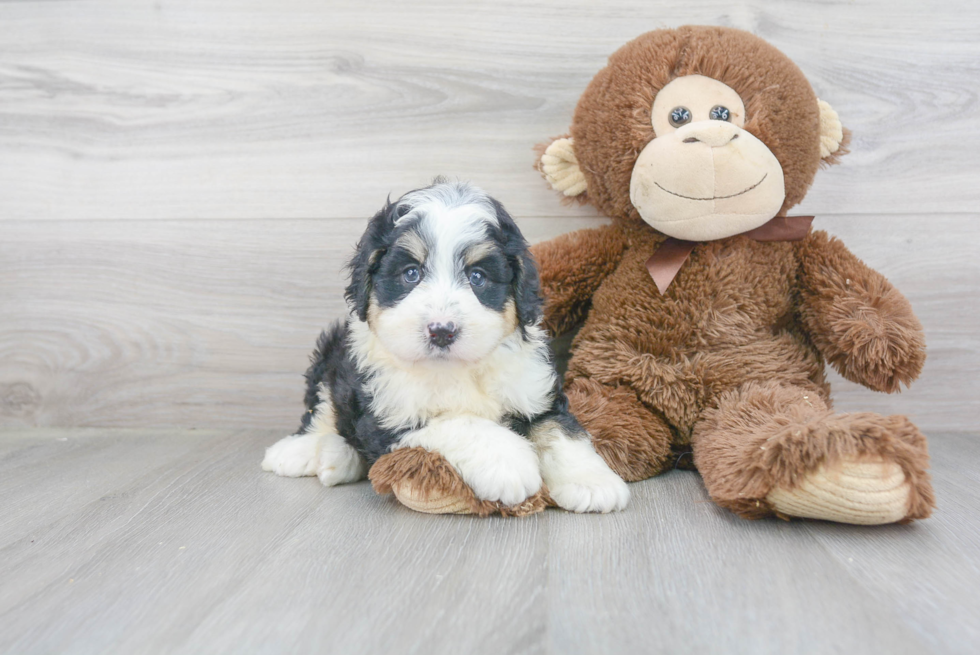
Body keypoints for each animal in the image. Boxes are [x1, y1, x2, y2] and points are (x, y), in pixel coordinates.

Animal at [260, 179, 628, 512]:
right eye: (411, 273)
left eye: (478, 277)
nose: (441, 331)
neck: (457, 369)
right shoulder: (389, 412)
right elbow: (461, 423)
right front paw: (509, 464)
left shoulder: (535, 389)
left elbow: (560, 431)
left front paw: (592, 482)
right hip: (332, 358)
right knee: (322, 411)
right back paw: (302, 453)